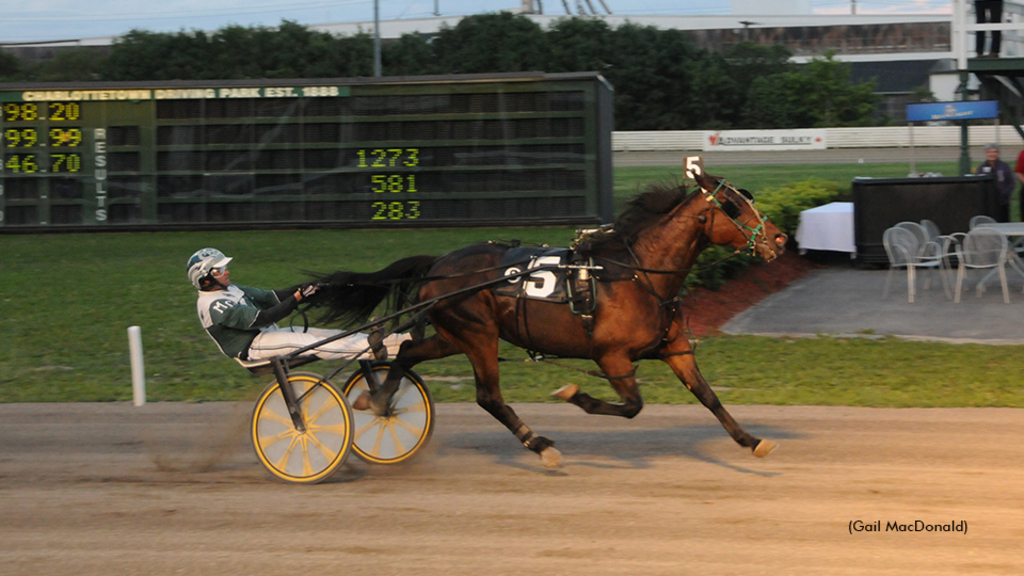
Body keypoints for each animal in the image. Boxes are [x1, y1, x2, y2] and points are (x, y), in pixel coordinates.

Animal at [315, 170, 786, 467]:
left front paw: (752, 441)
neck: (636, 274)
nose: (779, 239)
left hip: (454, 334)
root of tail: (440, 264)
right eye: (732, 206)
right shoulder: (611, 356)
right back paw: (539, 444)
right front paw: (574, 395)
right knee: (488, 396)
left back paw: (377, 400)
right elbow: (632, 406)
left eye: (747, 199)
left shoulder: (674, 349)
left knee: (409, 350)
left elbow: (709, 397)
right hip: (478, 335)